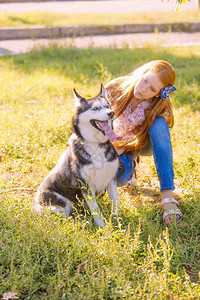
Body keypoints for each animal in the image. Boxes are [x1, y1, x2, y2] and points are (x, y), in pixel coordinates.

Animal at [32, 84, 120, 227]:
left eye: (108, 106)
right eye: (95, 108)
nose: (111, 113)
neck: (96, 144)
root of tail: (35, 201)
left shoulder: (111, 179)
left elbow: (116, 203)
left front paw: (118, 221)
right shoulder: (86, 186)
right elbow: (95, 209)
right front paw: (102, 226)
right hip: (62, 204)